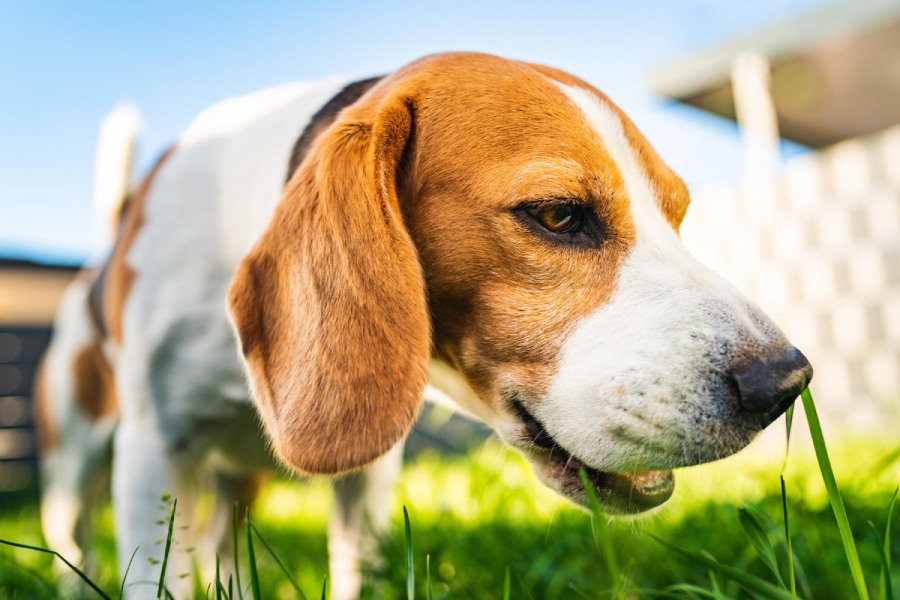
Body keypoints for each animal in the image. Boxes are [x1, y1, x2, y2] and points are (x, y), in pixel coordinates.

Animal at [35, 52, 812, 600]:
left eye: (677, 216)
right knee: (74, 540)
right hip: (78, 467)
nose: (786, 382)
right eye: (558, 215)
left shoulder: (368, 477)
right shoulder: (152, 456)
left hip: (234, 489)